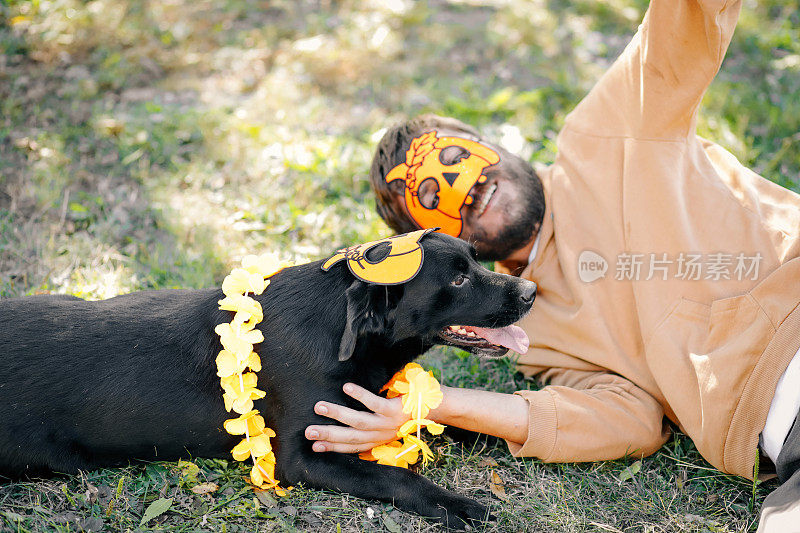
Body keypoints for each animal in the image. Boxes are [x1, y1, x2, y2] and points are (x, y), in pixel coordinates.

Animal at [3, 233, 536, 528]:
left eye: (476, 258)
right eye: (459, 279)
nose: (531, 289)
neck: (341, 331)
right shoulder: (302, 458)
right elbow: (396, 474)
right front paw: (456, 504)